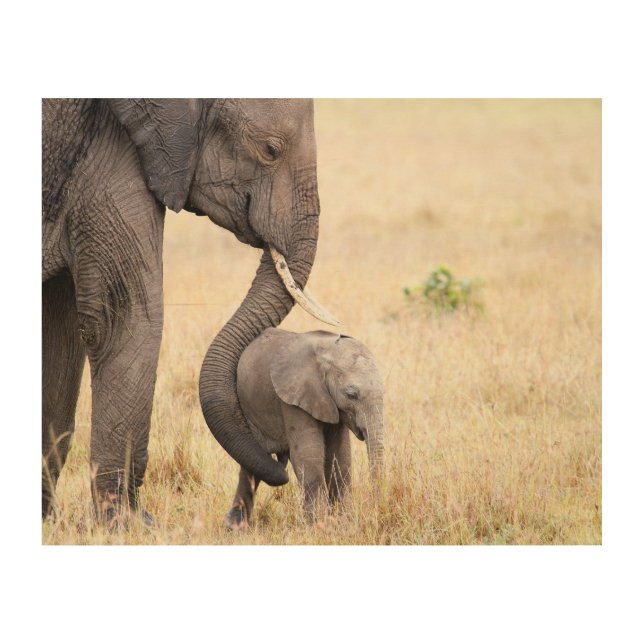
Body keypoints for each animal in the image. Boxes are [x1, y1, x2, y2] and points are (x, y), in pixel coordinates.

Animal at [42, 99, 337, 525]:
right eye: (270, 150)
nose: (279, 462)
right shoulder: (111, 148)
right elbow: (125, 316)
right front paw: (131, 525)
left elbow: (61, 331)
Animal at [224, 328, 385, 529]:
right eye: (351, 395)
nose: (376, 508)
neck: (327, 352)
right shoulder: (293, 398)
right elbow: (308, 455)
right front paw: (320, 525)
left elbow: (339, 456)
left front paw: (343, 521)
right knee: (253, 460)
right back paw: (235, 527)